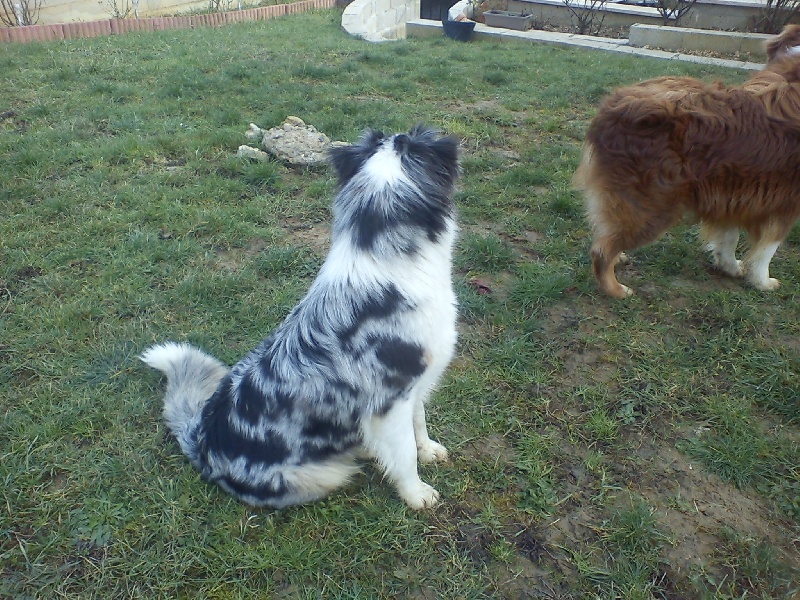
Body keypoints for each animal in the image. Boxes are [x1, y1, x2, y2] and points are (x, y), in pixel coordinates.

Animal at [141, 124, 460, 508]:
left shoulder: (417, 382)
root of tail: (203, 442)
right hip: (322, 473)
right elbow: (405, 451)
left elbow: (419, 422)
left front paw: (429, 450)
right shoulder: (390, 400)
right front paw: (416, 494)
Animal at [576, 25, 800, 298]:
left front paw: (730, 266)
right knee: (601, 250)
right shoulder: (785, 201)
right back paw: (616, 290)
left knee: (605, 230)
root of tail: (611, 107)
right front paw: (762, 281)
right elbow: (767, 249)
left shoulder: (734, 191)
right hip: (654, 207)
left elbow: (729, 236)